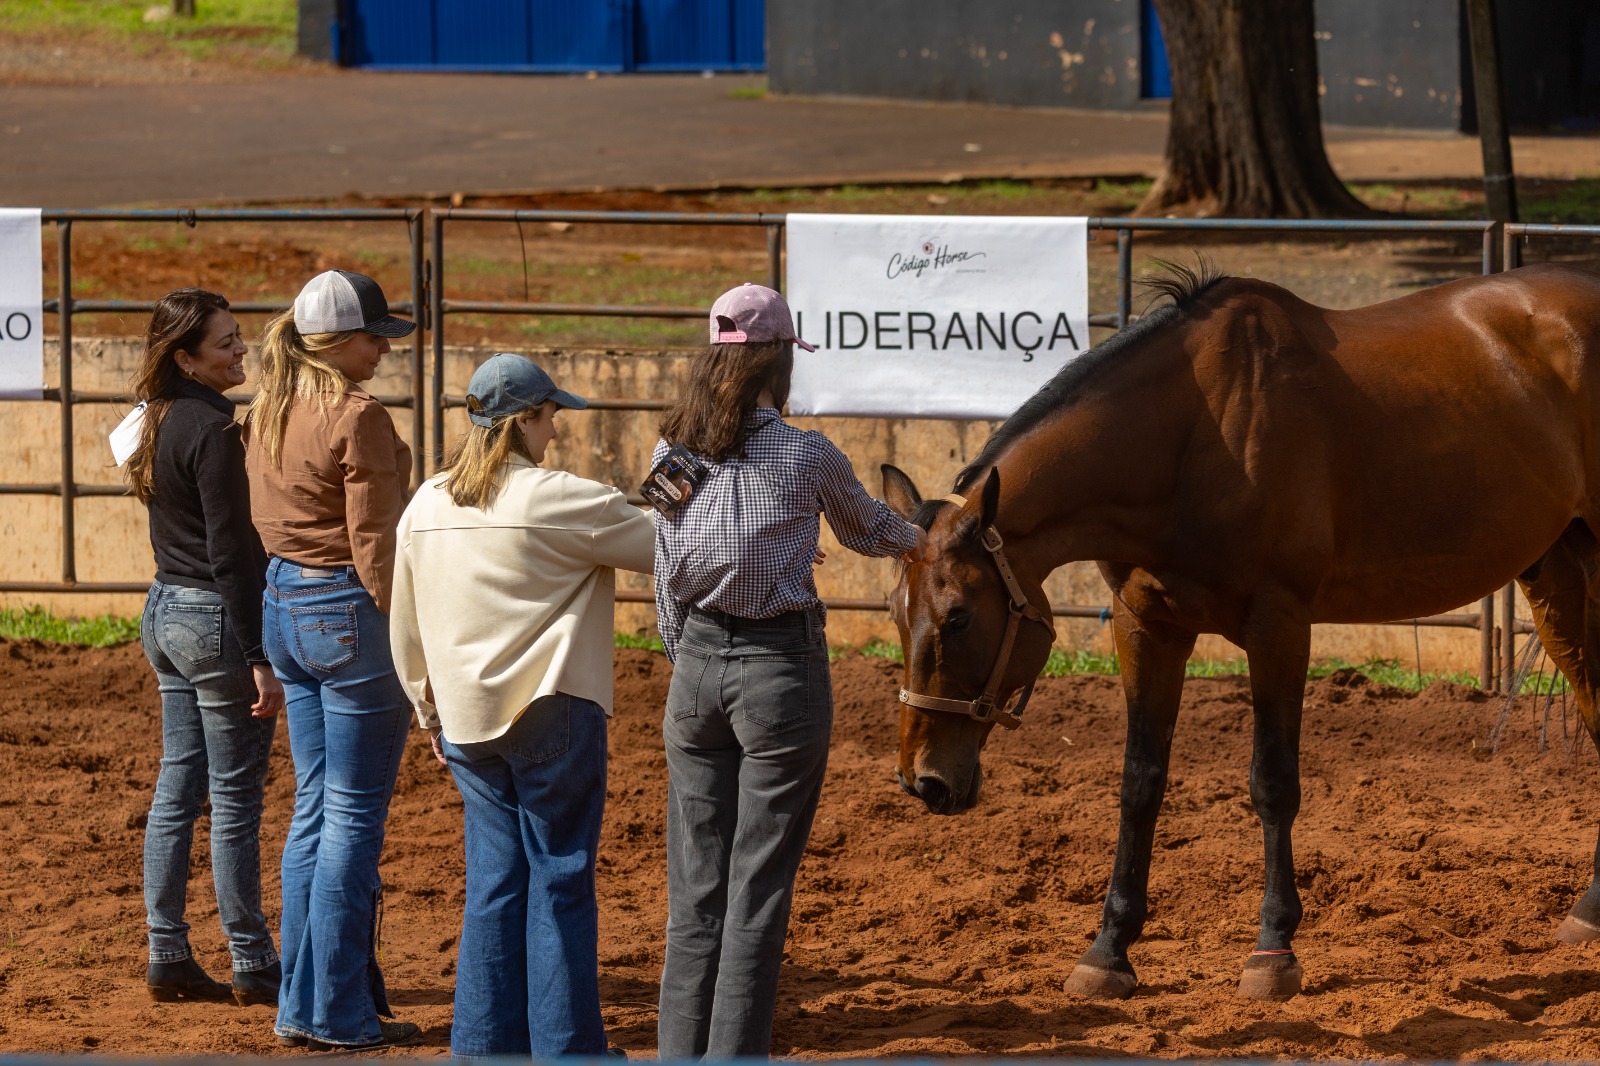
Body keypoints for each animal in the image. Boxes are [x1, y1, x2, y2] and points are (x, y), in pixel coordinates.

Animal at [879, 261, 1600, 1002]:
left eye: (959, 616)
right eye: (895, 613)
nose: (923, 782)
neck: (1194, 433)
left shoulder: (1279, 623)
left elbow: (1272, 782)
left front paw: (1273, 950)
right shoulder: (1148, 626)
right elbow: (1140, 782)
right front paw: (1109, 950)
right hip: (1558, 578)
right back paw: (1589, 912)